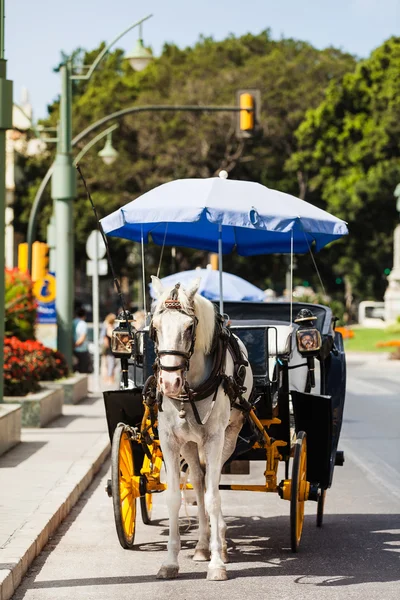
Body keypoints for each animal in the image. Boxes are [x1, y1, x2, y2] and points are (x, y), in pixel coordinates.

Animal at [150, 278, 253, 580]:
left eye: (188, 327)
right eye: (155, 328)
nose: (170, 383)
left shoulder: (215, 439)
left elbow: (213, 498)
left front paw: (217, 563)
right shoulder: (170, 440)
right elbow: (174, 497)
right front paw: (170, 562)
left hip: (228, 438)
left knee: (211, 483)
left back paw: (219, 544)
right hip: (189, 443)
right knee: (198, 480)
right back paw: (202, 545)